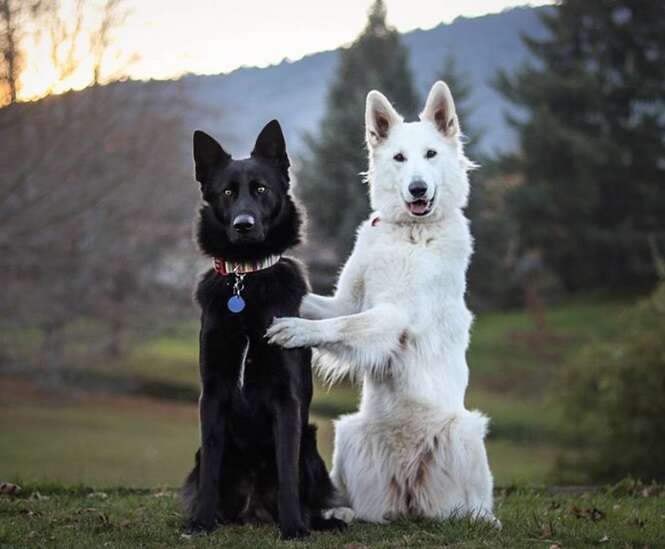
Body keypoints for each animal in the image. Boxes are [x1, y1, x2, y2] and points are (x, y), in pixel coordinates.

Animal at [183, 121, 344, 540]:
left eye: (260, 189)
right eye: (227, 192)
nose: (244, 226)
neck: (245, 279)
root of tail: (254, 509)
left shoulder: (286, 399)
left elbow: (287, 472)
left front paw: (293, 528)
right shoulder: (213, 394)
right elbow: (211, 471)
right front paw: (201, 521)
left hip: (311, 445)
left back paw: (316, 521)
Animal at [268, 81, 496, 524]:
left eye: (431, 154)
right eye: (399, 158)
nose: (417, 189)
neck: (408, 231)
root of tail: (408, 494)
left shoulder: (394, 317)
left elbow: (342, 326)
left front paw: (297, 330)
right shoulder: (347, 302)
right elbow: (322, 308)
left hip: (464, 432)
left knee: (472, 504)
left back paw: (481, 518)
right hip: (347, 435)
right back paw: (342, 513)